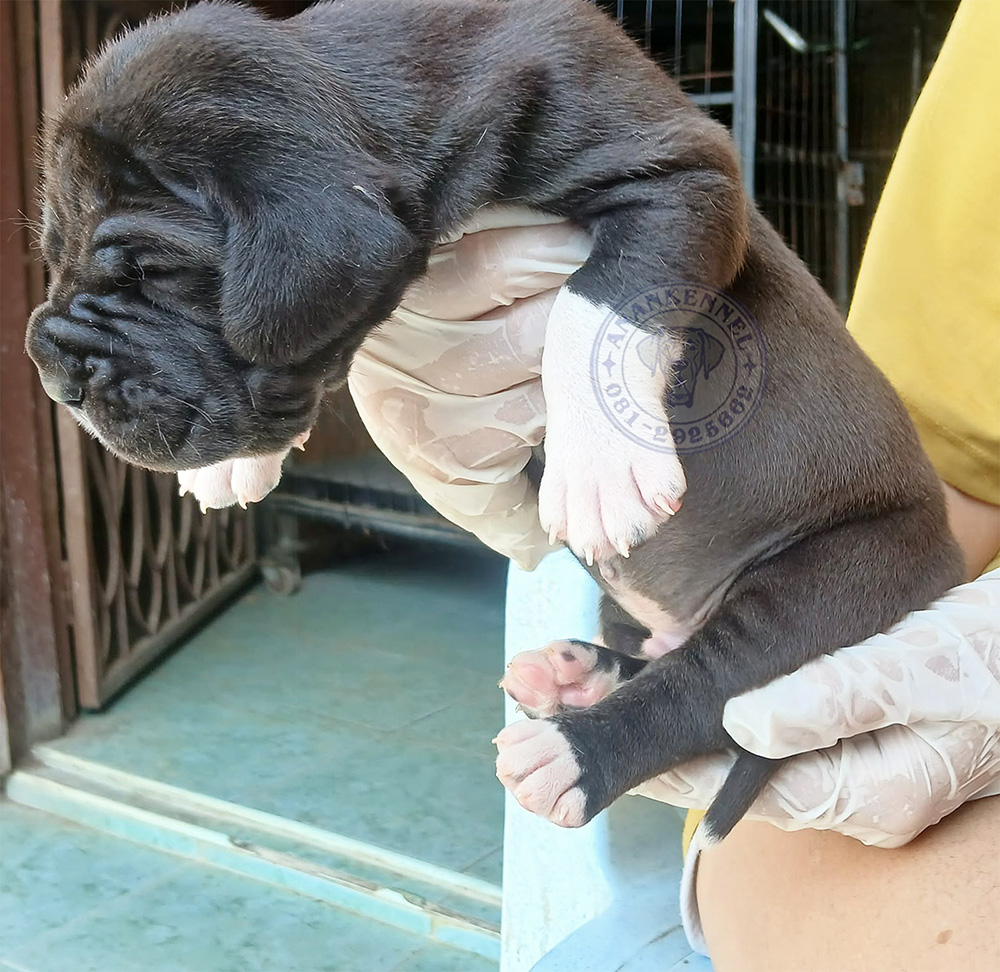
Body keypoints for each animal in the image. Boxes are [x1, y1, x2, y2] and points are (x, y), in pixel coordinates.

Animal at [26, 0, 962, 839]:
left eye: (148, 269)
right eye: (53, 255)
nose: (51, 363)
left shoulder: (677, 165)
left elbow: (600, 298)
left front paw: (599, 470)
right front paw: (231, 466)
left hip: (842, 569)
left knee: (712, 683)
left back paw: (572, 752)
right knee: (664, 657)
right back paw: (579, 672)